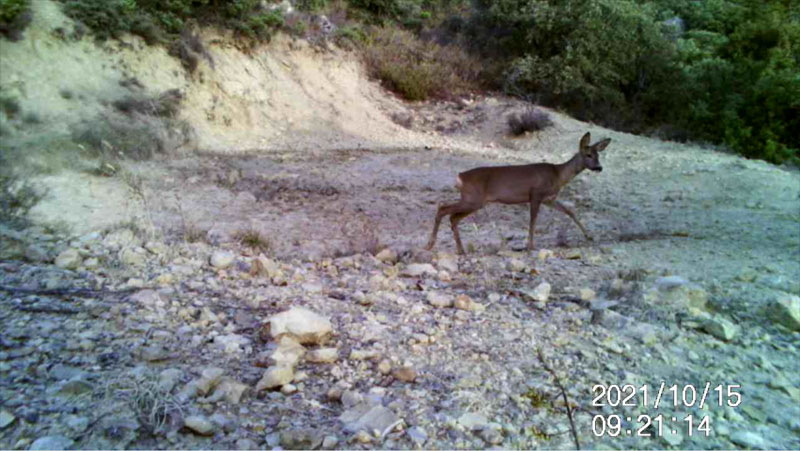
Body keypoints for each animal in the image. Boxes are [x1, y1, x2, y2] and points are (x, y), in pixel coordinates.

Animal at [424, 132, 612, 256]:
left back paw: (461, 250)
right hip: (473, 199)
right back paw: (430, 245)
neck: (558, 175)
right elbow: (533, 220)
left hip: (474, 201)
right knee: (443, 208)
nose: (599, 167)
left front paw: (589, 236)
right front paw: (530, 246)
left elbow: (570, 211)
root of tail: (460, 176)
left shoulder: (549, 199)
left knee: (453, 217)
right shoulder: (536, 194)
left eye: (598, 155)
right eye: (588, 154)